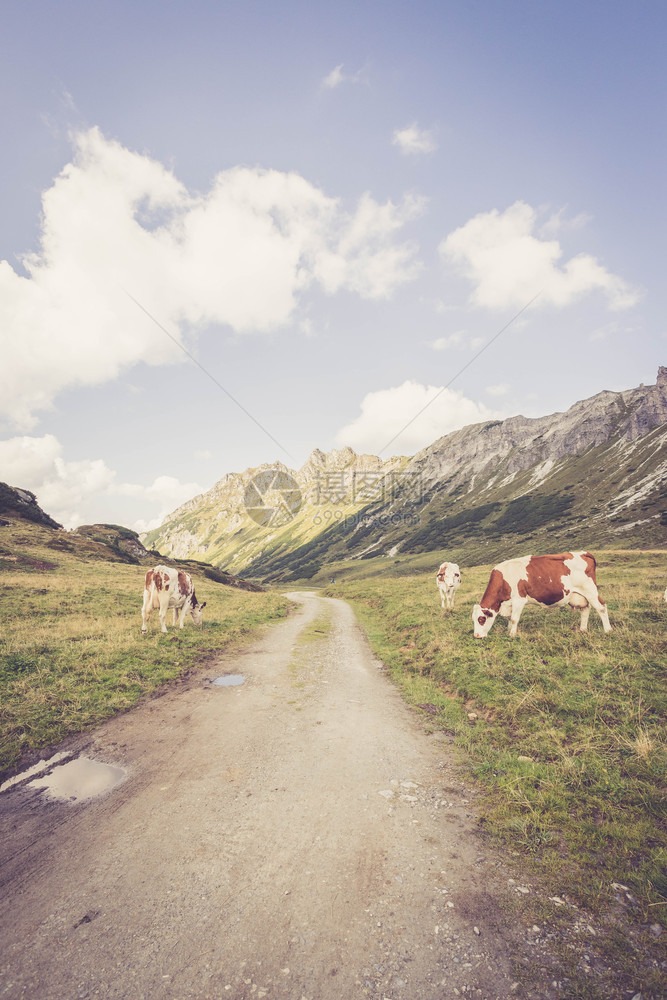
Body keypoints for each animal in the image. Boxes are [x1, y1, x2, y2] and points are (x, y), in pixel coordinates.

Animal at [472, 552, 612, 636]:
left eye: (481, 619)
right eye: (474, 619)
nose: (476, 636)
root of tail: (584, 553)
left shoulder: (519, 599)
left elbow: (514, 618)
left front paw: (512, 634)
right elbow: (510, 618)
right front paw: (508, 630)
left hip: (590, 590)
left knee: (601, 607)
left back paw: (608, 630)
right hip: (579, 595)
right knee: (585, 609)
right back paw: (582, 629)